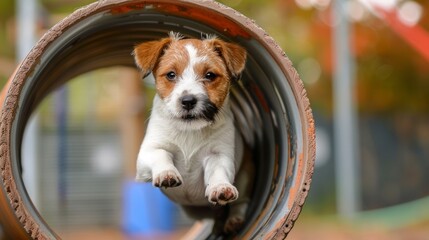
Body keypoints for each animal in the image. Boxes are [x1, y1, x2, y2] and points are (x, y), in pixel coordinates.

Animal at [134, 31, 252, 234]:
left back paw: (234, 221)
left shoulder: (218, 155)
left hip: (245, 176)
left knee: (241, 202)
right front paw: (167, 173)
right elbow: (161, 155)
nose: (188, 101)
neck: (189, 131)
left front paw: (221, 187)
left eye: (210, 75)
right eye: (171, 75)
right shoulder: (149, 151)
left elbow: (218, 171)